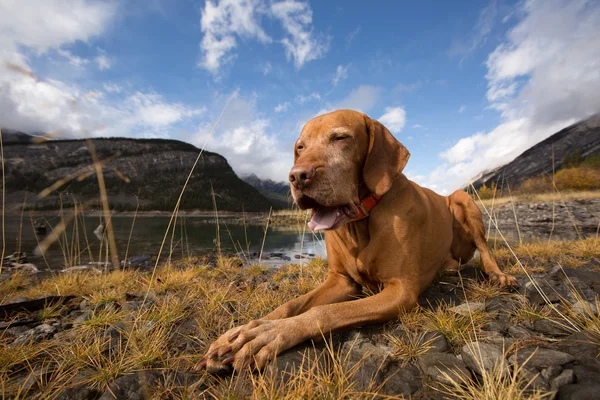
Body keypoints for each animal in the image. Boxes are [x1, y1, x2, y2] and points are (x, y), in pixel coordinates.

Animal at [196, 108, 516, 372]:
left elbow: (324, 312)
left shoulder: (400, 290)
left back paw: (498, 275)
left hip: (464, 199)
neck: (360, 222)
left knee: (484, 248)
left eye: (340, 138)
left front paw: (271, 334)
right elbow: (292, 305)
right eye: (300, 147)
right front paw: (245, 331)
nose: (297, 176)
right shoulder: (341, 281)